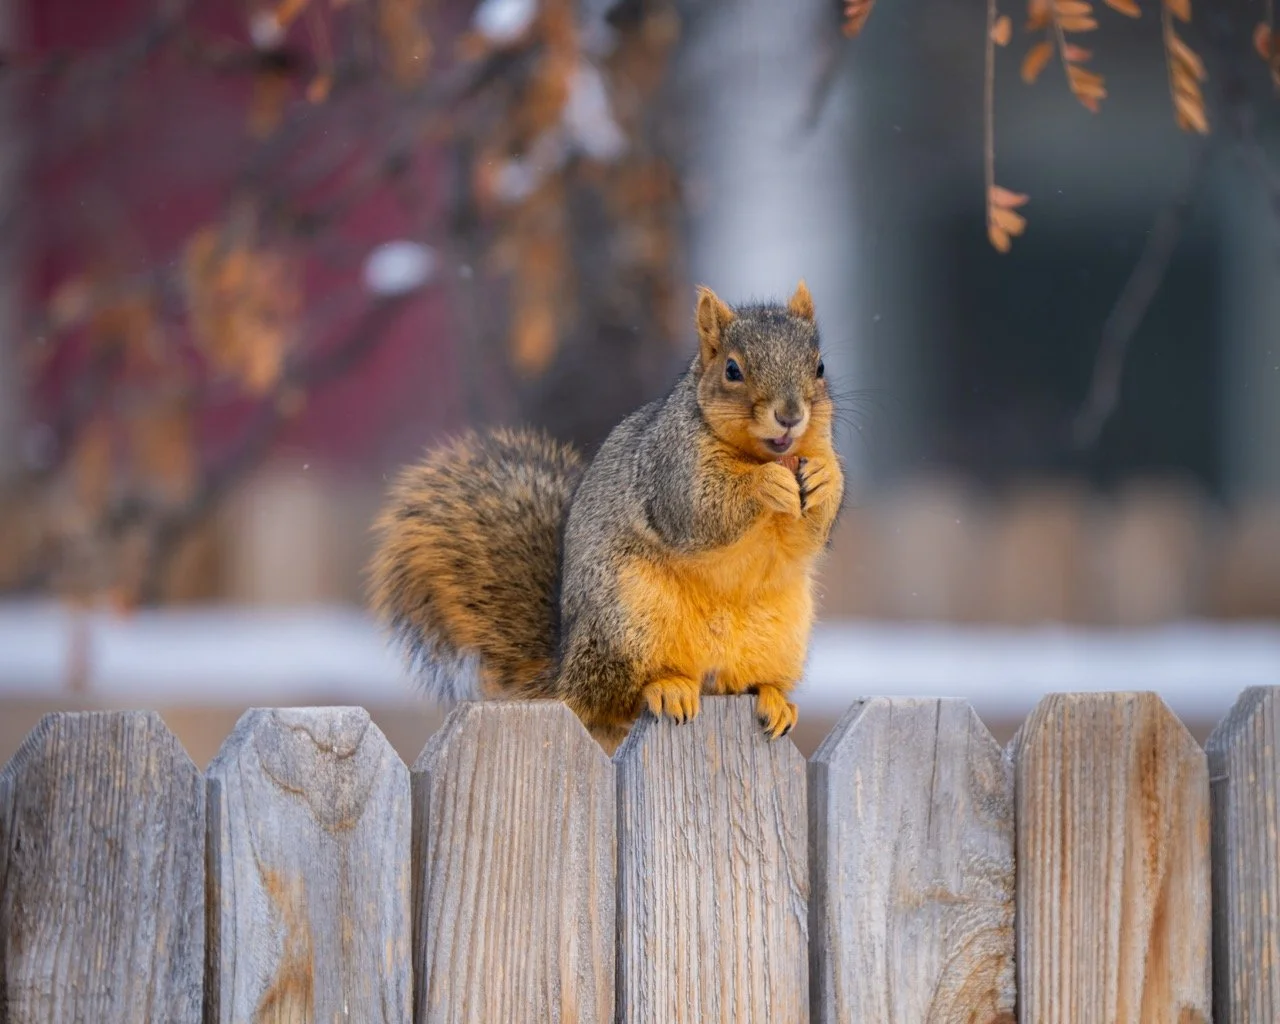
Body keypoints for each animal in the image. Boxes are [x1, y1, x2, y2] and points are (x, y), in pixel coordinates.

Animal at [368, 281, 845, 753]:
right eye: (732, 370)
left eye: (820, 366)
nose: (790, 416)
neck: (759, 453)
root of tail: (563, 676)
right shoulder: (669, 468)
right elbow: (699, 509)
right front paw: (765, 483)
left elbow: (810, 533)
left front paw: (825, 478)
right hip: (629, 618)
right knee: (617, 698)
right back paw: (667, 687)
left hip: (779, 634)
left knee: (735, 684)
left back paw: (772, 697)